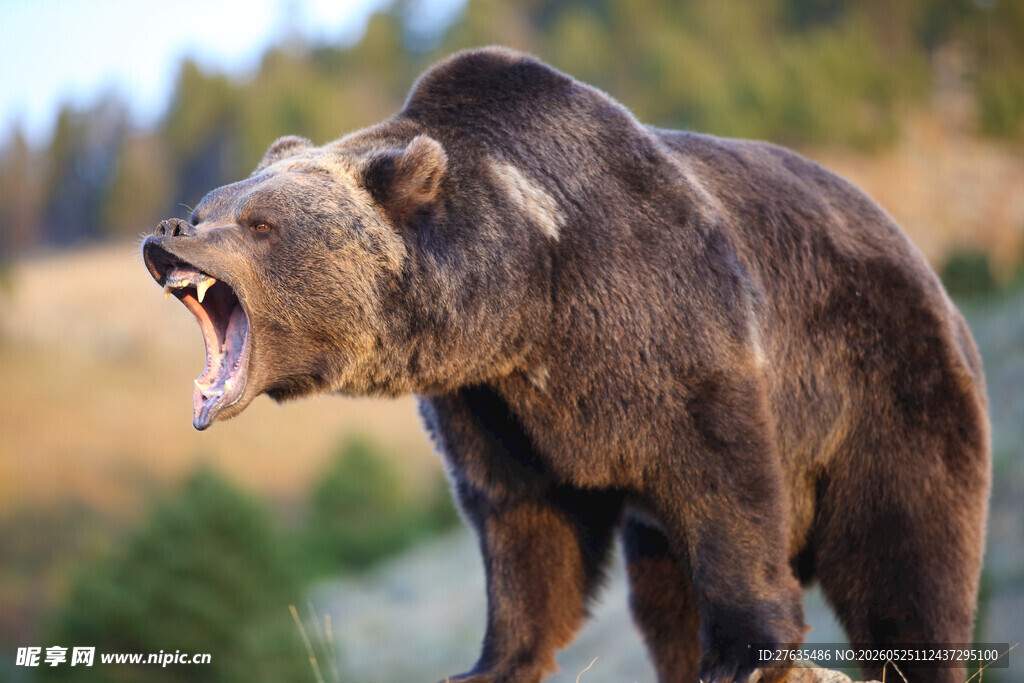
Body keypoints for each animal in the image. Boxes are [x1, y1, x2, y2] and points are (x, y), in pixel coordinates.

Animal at [142, 47, 990, 683]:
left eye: (259, 222)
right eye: (210, 203)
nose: (168, 231)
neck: (526, 296)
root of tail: (922, 262)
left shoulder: (665, 318)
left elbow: (725, 480)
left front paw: (746, 652)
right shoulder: (491, 401)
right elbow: (522, 520)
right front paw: (488, 662)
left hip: (885, 384)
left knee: (906, 554)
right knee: (664, 595)